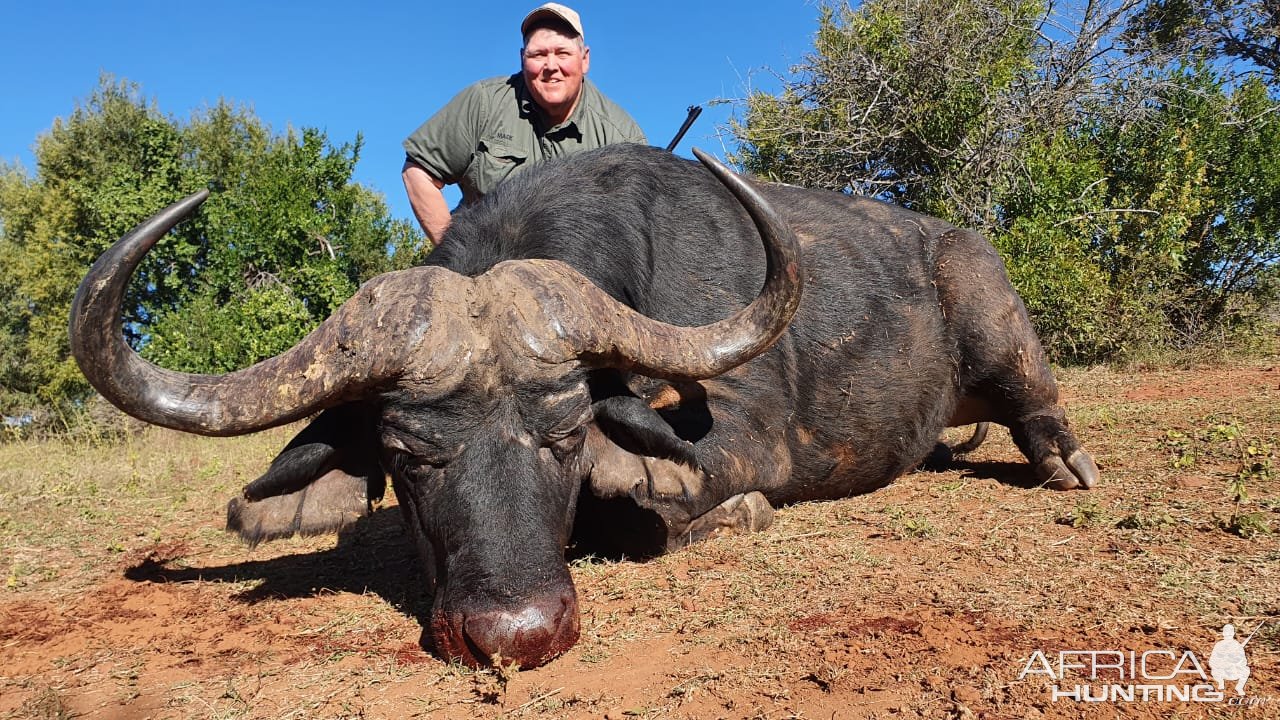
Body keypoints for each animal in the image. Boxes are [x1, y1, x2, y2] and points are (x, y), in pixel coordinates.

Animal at [70, 142, 1095, 671]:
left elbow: (648, 505)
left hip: (1002, 330)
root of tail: (951, 242)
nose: (516, 634)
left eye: (566, 435)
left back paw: (1063, 462)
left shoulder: (745, 439)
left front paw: (733, 514)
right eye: (405, 456)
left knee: (1038, 410)